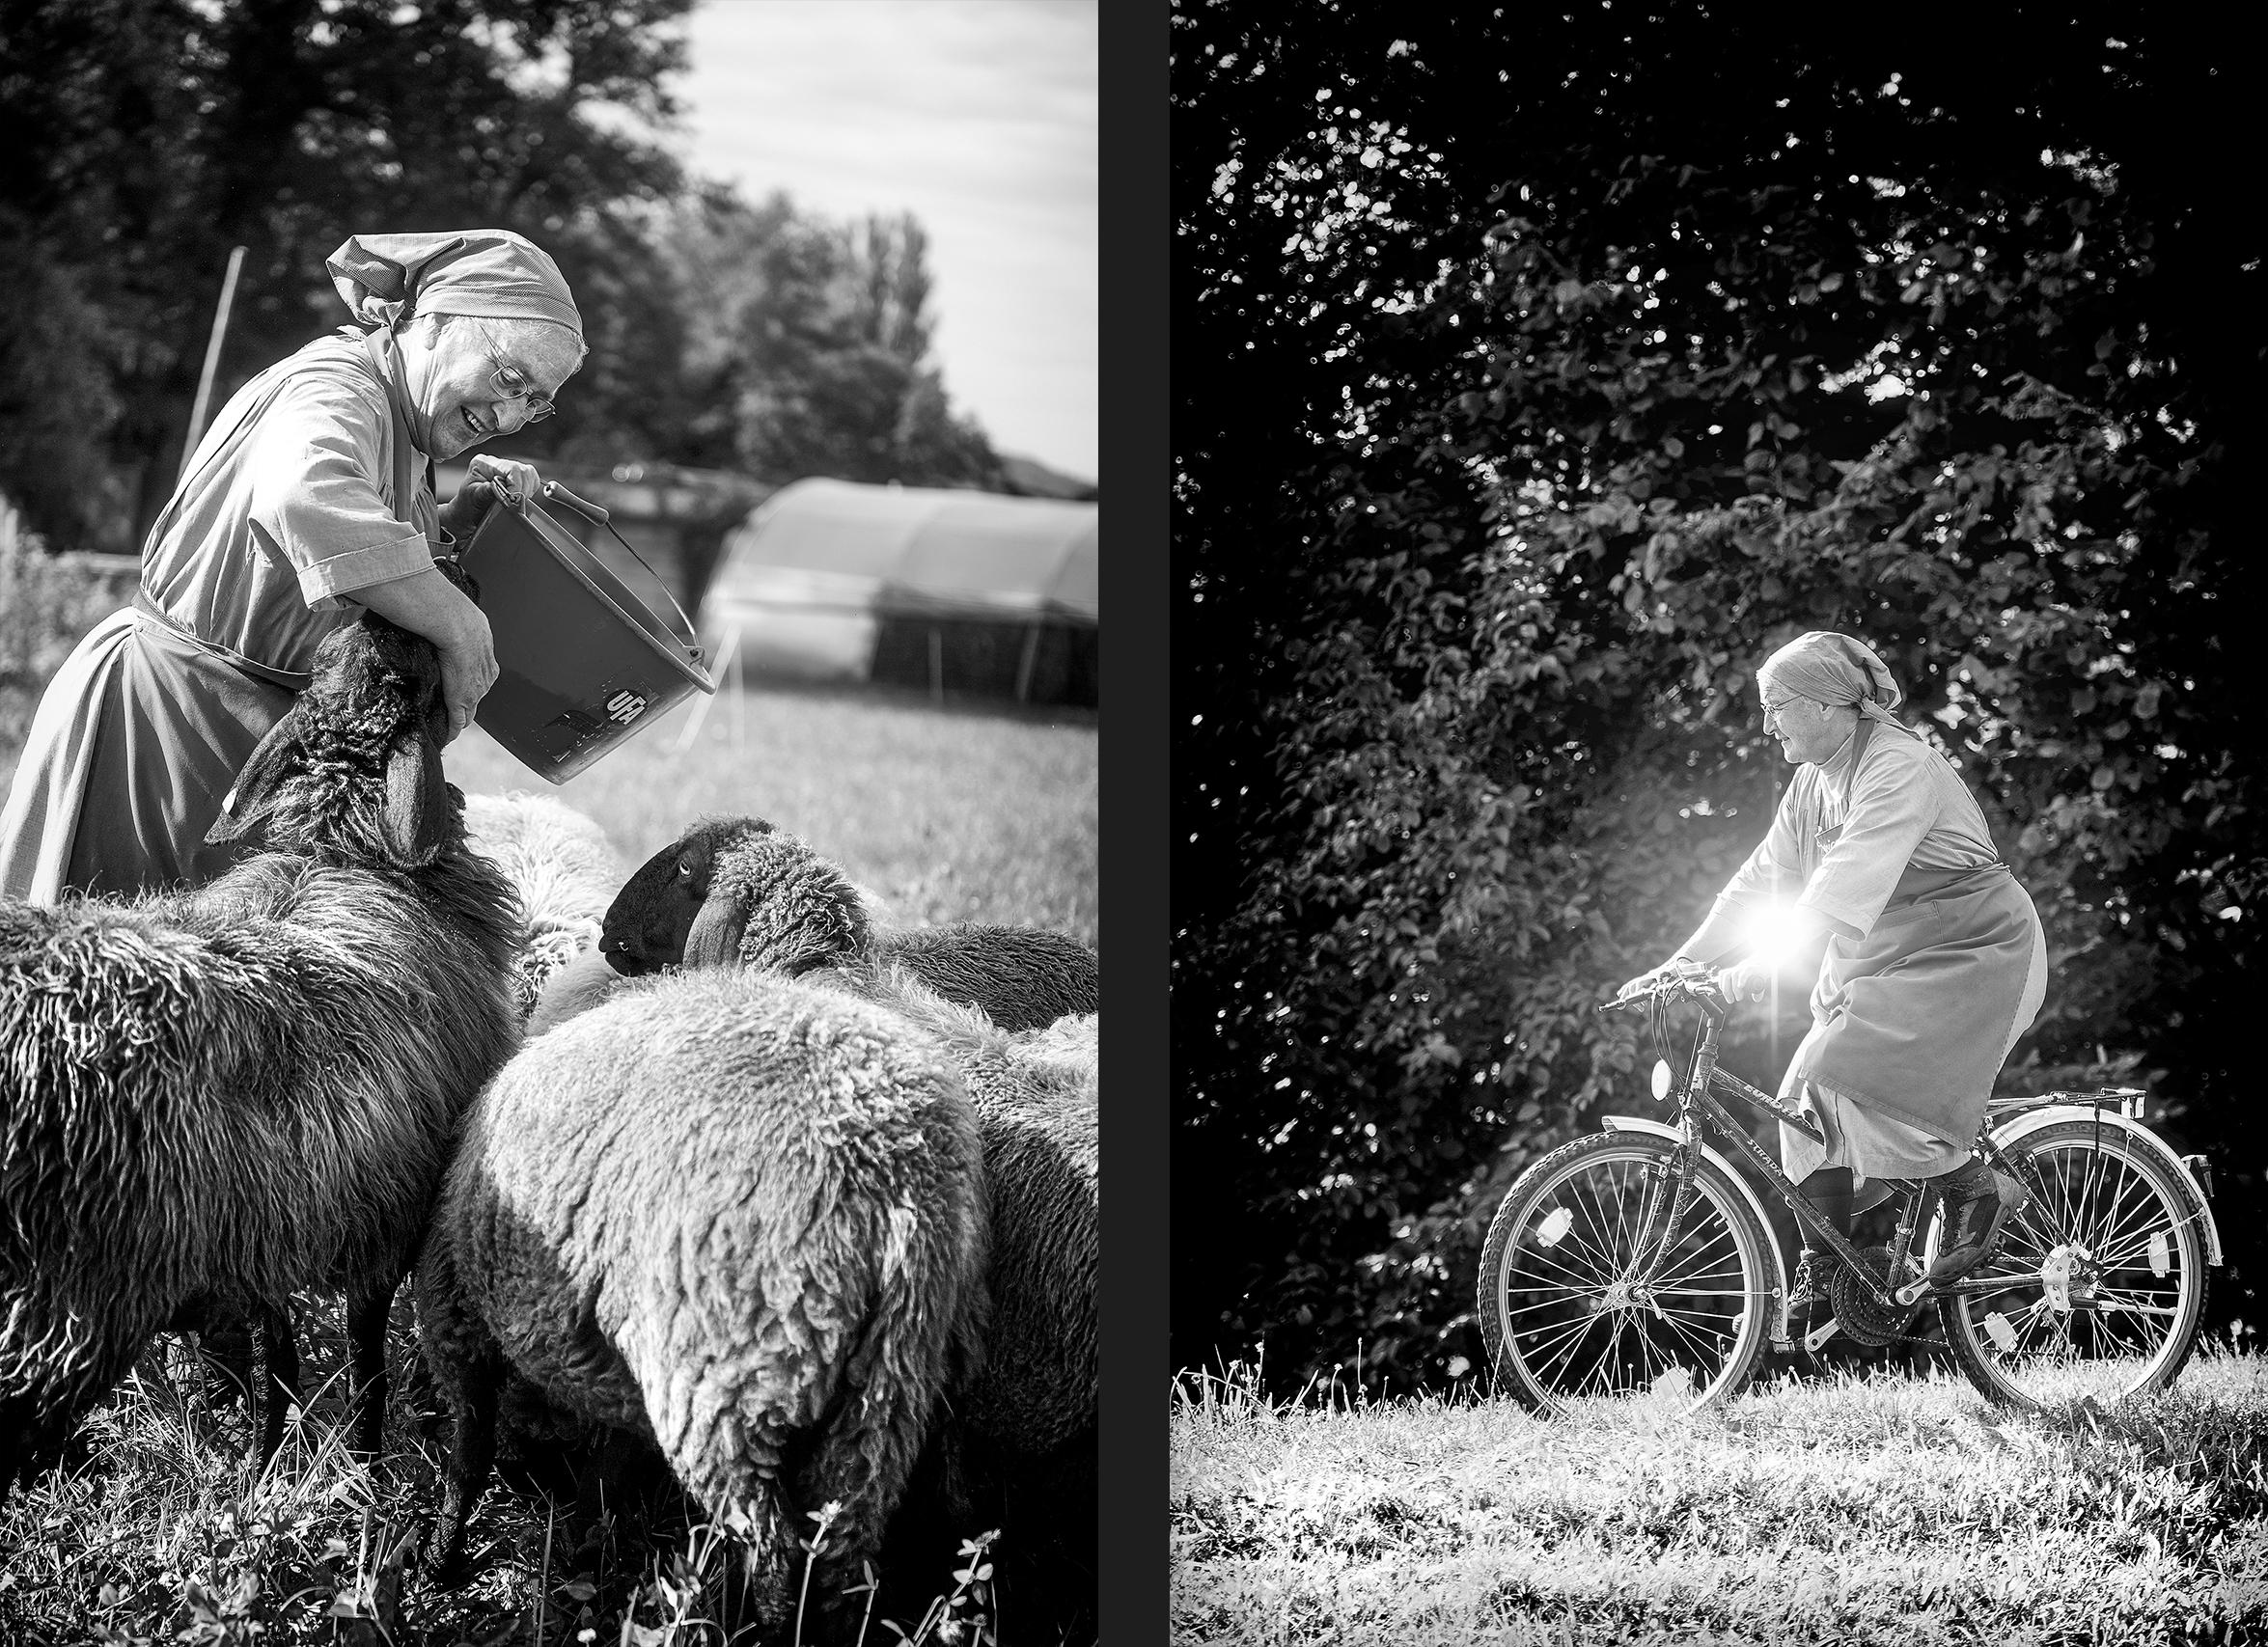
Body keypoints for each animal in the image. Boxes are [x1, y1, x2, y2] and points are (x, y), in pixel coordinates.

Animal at [0, 608, 519, 1496]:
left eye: (339, 659)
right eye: (411, 683)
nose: (386, 614)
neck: (344, 852)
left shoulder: (266, 1223)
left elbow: (274, 1360)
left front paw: (260, 1471)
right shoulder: (385, 1215)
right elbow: (365, 1353)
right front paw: (364, 1465)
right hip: (72, 1290)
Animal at [419, 966, 993, 1642]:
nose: (535, 1484)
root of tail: (894, 1178)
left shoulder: (455, 1308)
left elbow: (469, 1447)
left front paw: (443, 1558)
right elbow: (607, 1468)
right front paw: (583, 1545)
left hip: (728, 1389)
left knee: (777, 1561)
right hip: (890, 1397)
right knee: (853, 1555)